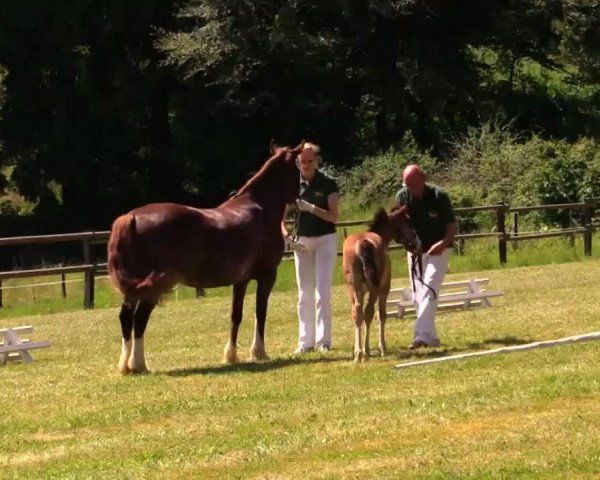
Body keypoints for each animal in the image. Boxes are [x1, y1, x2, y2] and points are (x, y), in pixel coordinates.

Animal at [108, 141, 302, 374]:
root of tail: (132, 217)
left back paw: (125, 365)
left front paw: (231, 356)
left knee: (126, 318)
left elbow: (236, 315)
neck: (260, 207)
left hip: (134, 288)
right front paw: (259, 353)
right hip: (151, 289)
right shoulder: (267, 276)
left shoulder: (241, 280)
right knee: (139, 320)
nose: (301, 193)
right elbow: (260, 312)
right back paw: (139, 364)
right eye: (298, 169)